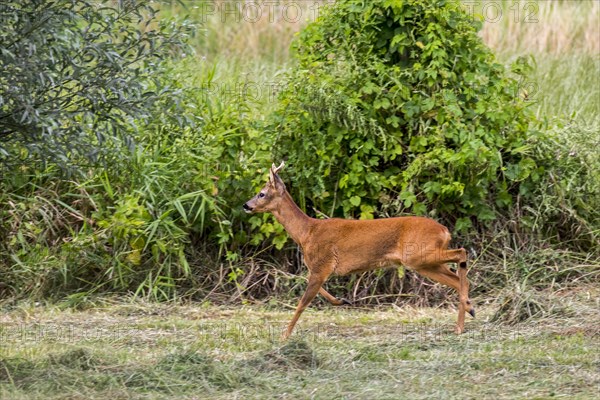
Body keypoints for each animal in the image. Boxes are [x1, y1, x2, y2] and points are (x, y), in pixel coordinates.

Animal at [243, 161, 474, 340]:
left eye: (261, 193)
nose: (246, 205)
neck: (307, 233)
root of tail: (444, 231)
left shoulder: (322, 264)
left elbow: (302, 302)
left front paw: (284, 335)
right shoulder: (319, 268)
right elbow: (317, 291)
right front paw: (342, 300)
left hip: (418, 255)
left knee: (462, 253)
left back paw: (467, 311)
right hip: (424, 263)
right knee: (457, 279)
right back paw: (462, 322)